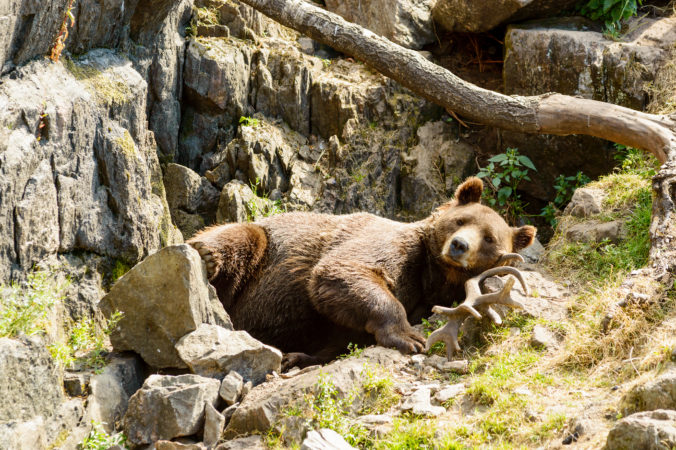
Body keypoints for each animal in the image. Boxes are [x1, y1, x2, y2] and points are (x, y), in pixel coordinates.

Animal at [187, 178, 536, 368]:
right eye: (461, 220)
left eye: (489, 238)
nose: (459, 246)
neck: (433, 274)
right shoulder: (394, 249)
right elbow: (342, 271)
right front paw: (410, 337)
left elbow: (340, 338)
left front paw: (297, 357)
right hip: (263, 249)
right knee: (240, 238)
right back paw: (208, 257)